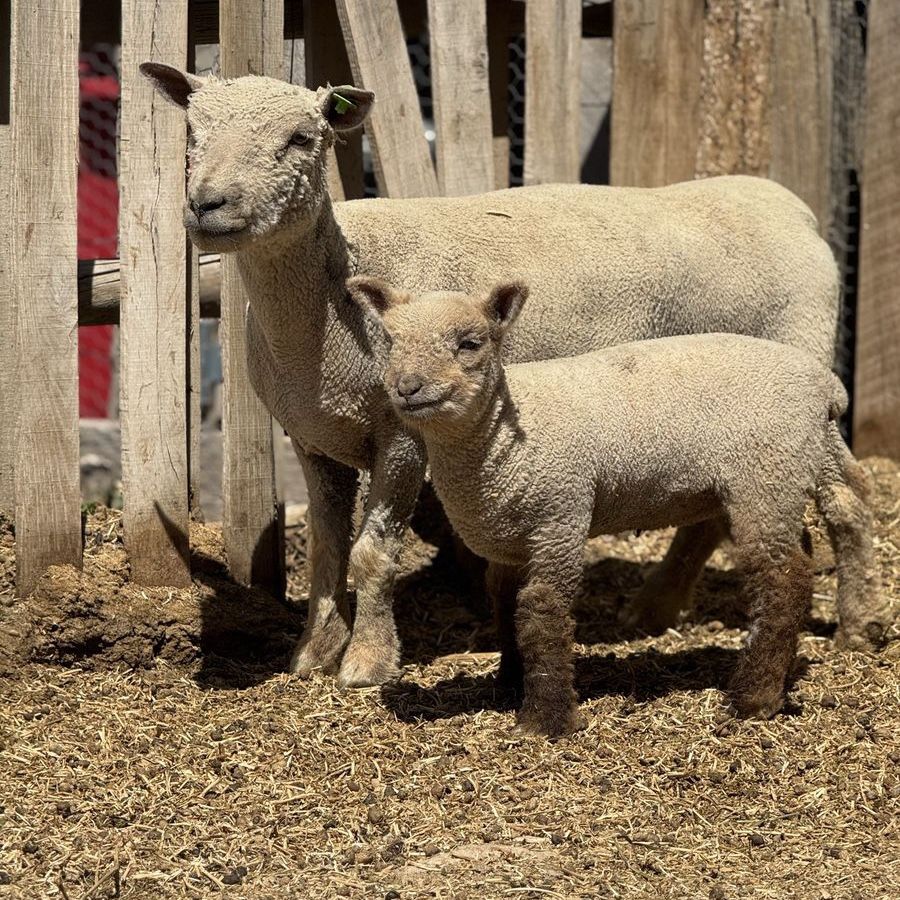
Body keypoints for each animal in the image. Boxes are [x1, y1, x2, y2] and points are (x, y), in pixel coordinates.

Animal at [140, 63, 850, 689]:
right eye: (192, 129)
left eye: (301, 138)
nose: (208, 204)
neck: (326, 307)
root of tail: (791, 207)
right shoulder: (314, 440)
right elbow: (326, 550)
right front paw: (313, 653)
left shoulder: (402, 434)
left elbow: (374, 551)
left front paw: (366, 664)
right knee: (710, 512)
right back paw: (653, 610)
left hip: (789, 368)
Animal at [347, 276, 884, 737]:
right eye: (390, 341)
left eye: (470, 343)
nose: (407, 387)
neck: (504, 436)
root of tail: (826, 385)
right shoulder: (513, 541)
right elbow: (507, 606)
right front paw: (510, 683)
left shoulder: (561, 515)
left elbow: (542, 613)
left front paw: (546, 720)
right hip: (789, 473)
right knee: (823, 533)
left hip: (765, 476)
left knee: (784, 581)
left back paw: (754, 699)